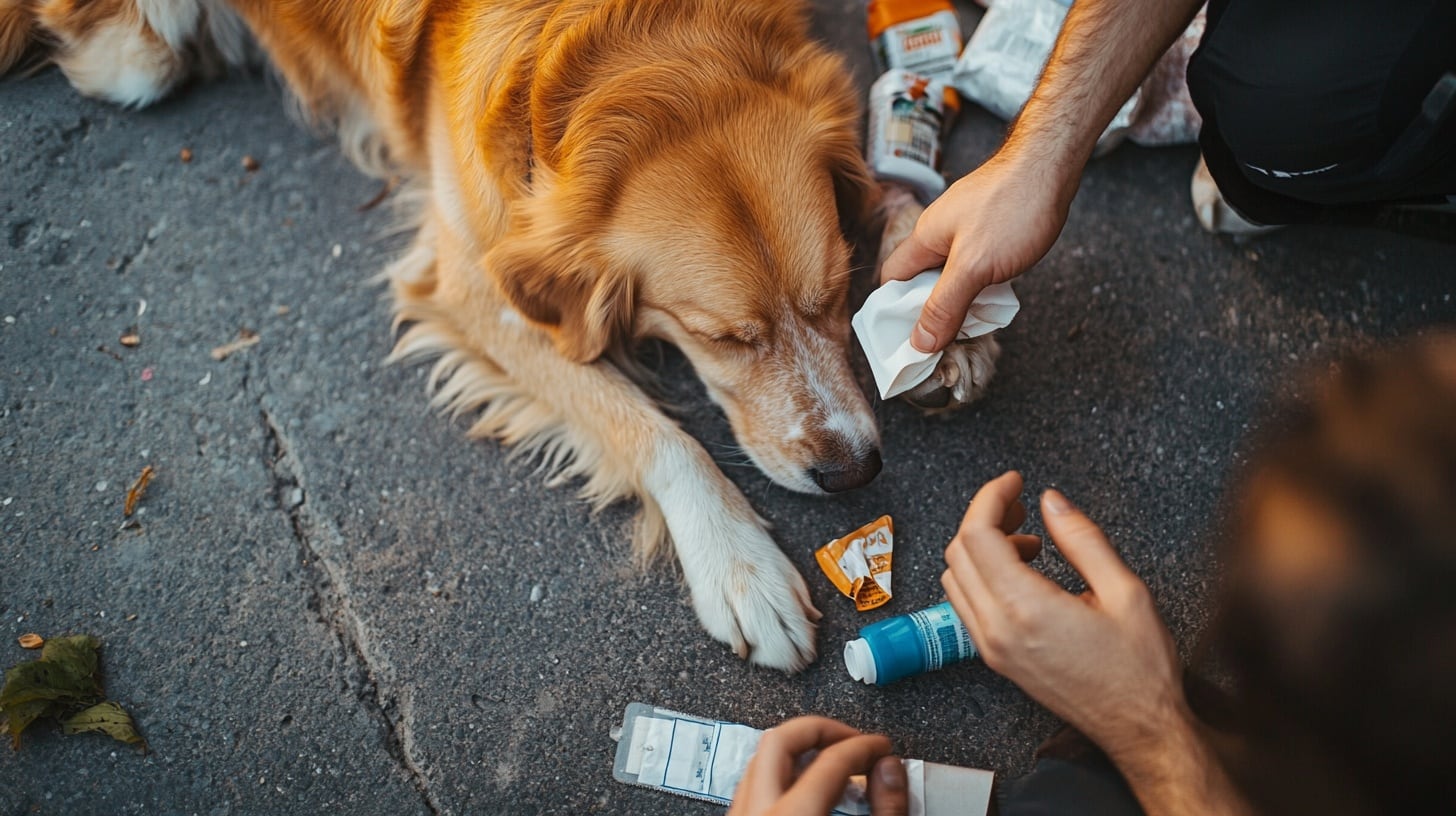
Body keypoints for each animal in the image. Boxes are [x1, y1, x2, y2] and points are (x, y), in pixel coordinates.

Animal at [0, 0, 1001, 670]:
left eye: (836, 295)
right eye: (724, 338)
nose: (855, 472)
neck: (634, 53)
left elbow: (894, 186)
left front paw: (941, 311)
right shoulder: (477, 283)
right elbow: (653, 432)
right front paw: (738, 563)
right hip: (135, 59)